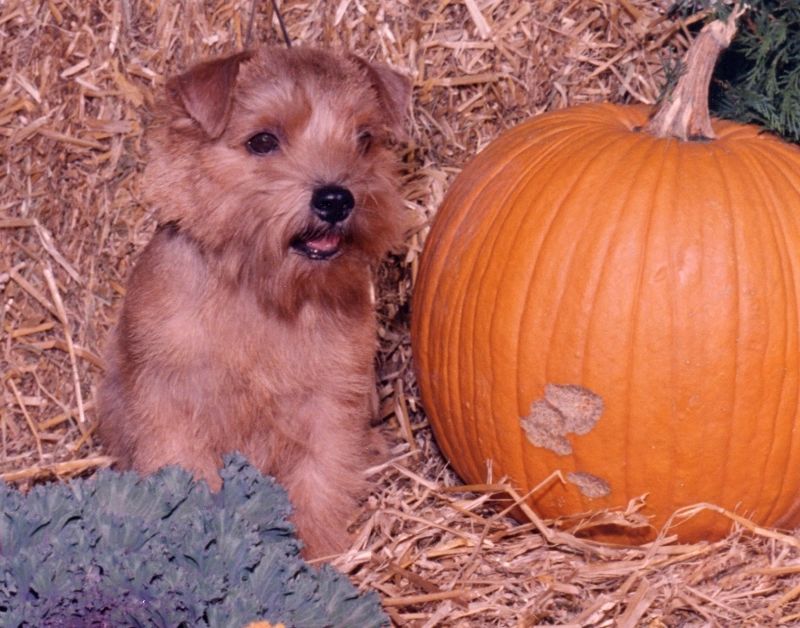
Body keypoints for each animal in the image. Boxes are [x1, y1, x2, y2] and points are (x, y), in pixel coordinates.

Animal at [98, 46, 412, 556]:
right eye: (263, 140)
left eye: (364, 139)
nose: (336, 198)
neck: (261, 292)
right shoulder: (172, 406)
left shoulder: (330, 407)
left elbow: (319, 490)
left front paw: (316, 557)